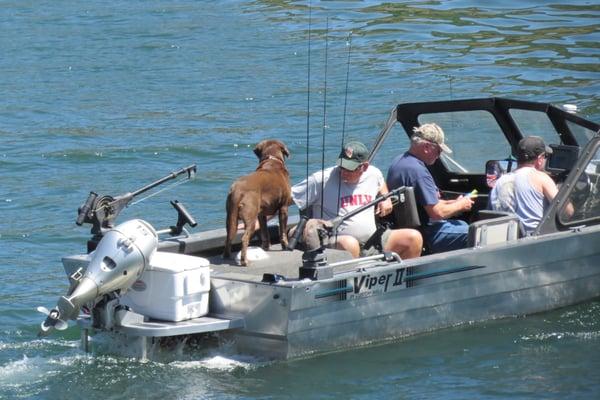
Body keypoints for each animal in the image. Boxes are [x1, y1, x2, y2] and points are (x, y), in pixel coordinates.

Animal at [224, 139, 292, 268]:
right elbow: (283, 231)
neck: (272, 160)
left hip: (231, 218)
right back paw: (244, 261)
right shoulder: (284, 208)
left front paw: (266, 247)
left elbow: (265, 232)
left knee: (229, 236)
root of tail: (237, 190)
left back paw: (226, 256)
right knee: (244, 239)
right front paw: (286, 246)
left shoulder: (261, 214)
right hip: (250, 218)